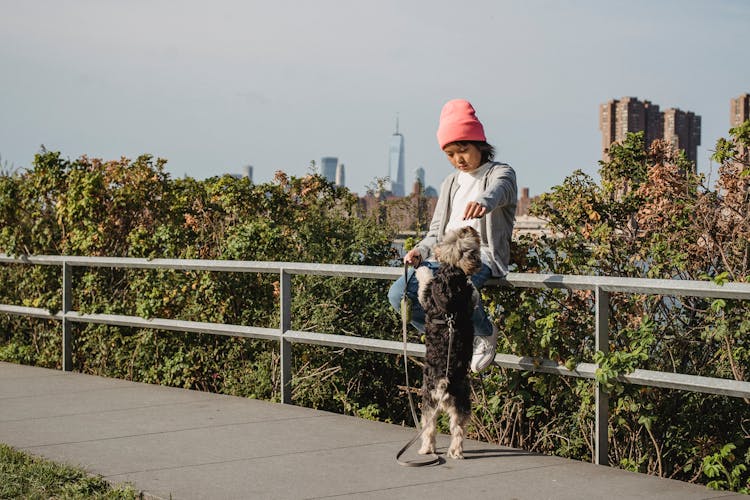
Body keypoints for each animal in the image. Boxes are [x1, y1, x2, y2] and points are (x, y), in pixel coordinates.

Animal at [414, 226, 484, 458]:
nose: (468, 227)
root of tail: (443, 383)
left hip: (431, 402)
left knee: (432, 428)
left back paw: (428, 450)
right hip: (459, 401)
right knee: (457, 429)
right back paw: (452, 451)